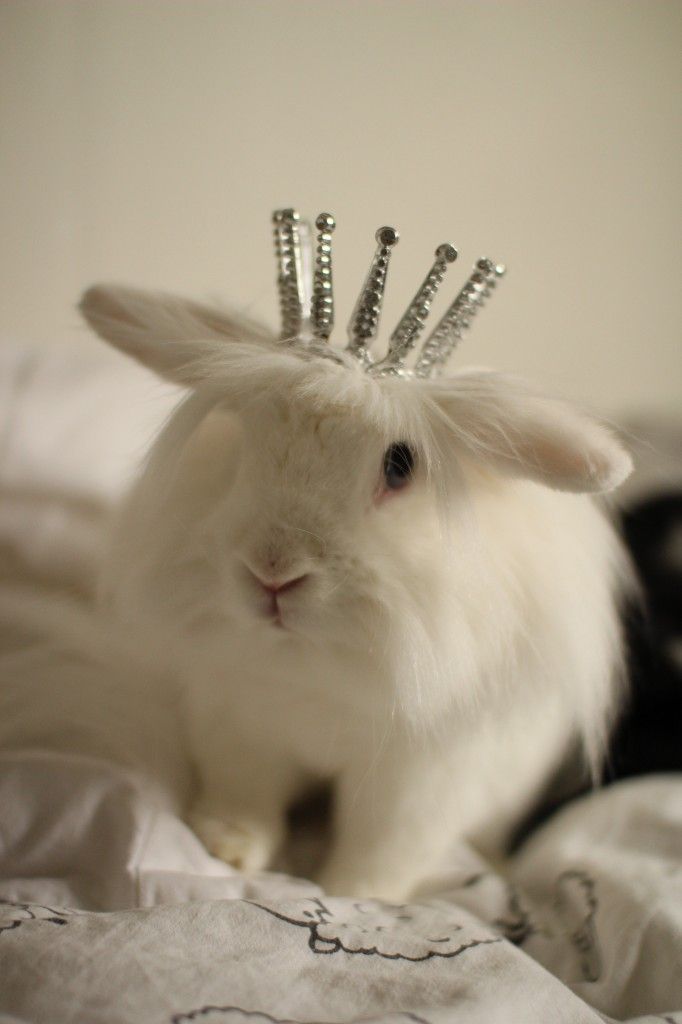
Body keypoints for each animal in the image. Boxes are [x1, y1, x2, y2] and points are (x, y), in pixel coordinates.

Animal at [79, 284, 630, 901]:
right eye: (247, 434)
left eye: (400, 465)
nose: (272, 572)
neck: (319, 663)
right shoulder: (241, 725)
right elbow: (246, 795)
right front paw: (225, 847)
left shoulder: (418, 781)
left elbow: (383, 845)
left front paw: (353, 895)